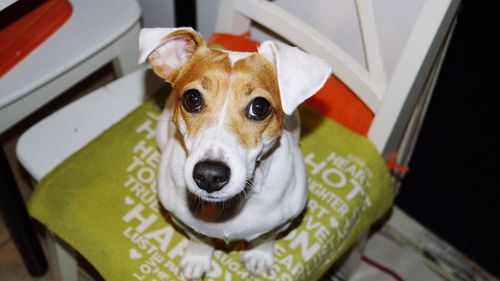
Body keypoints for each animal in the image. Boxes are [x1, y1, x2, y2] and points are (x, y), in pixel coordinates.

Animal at [139, 26, 330, 278]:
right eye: (192, 98)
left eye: (259, 106)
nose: (210, 175)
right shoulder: (182, 220)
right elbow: (199, 238)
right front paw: (197, 258)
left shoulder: (283, 221)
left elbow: (265, 238)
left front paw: (258, 256)